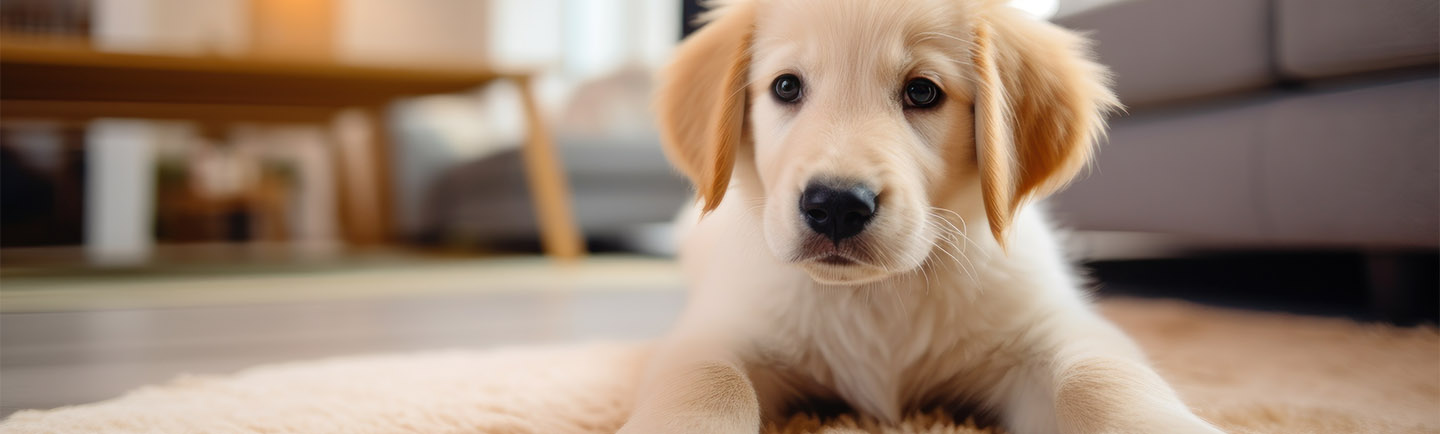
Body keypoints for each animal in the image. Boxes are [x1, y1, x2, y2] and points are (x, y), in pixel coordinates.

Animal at [624, 0, 1221, 432]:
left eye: (922, 91)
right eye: (786, 86)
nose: (836, 205)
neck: (876, 296)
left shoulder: (1050, 326)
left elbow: (1099, 378)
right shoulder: (718, 328)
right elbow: (708, 379)